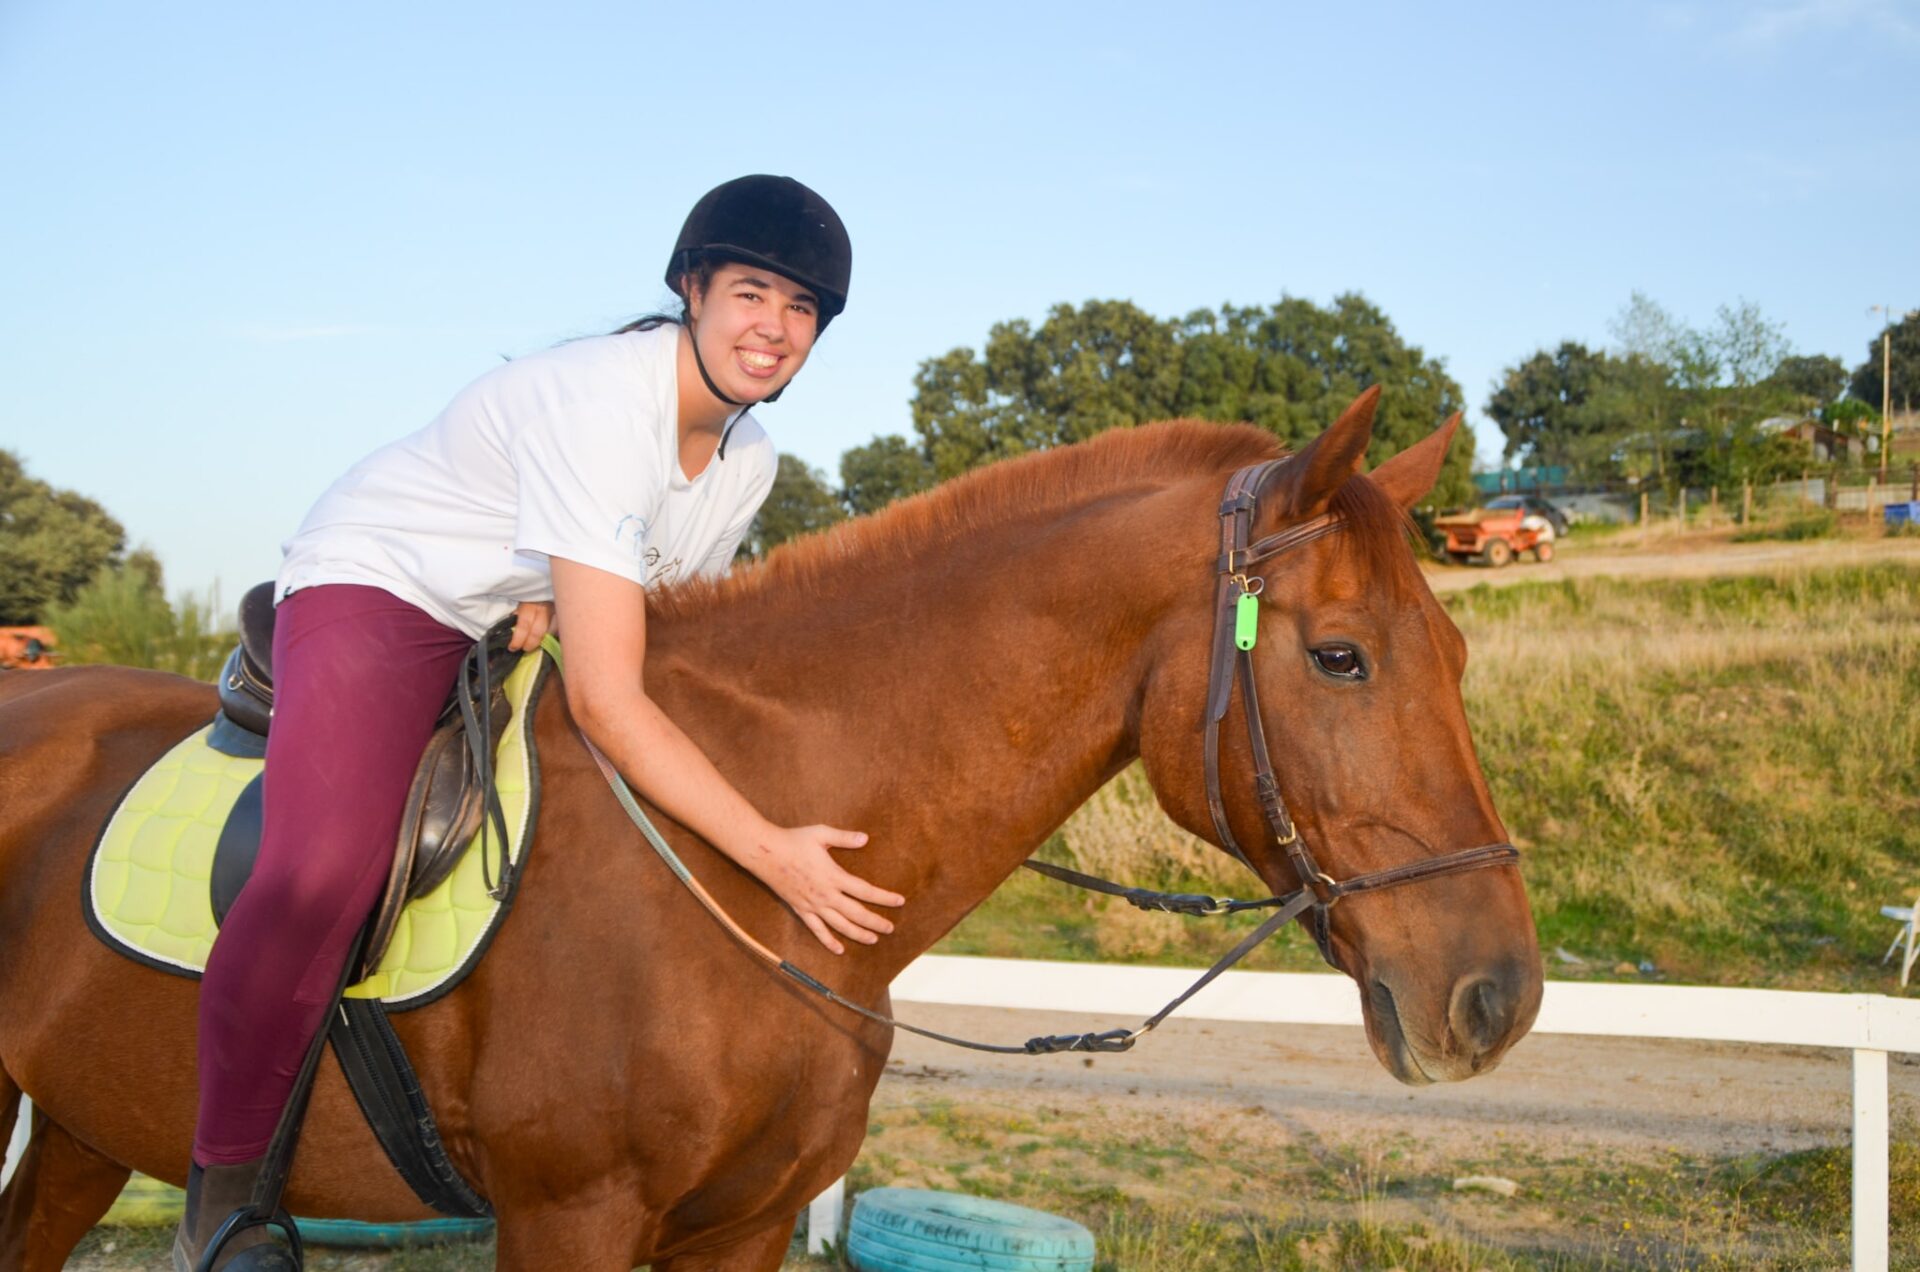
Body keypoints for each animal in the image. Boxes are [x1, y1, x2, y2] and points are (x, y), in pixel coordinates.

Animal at [0, 391, 1536, 1272]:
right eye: (1339, 658)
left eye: (1464, 653)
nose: (1497, 998)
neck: (741, 858)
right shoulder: (569, 1221)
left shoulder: (734, 1231)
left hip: (81, 1125)